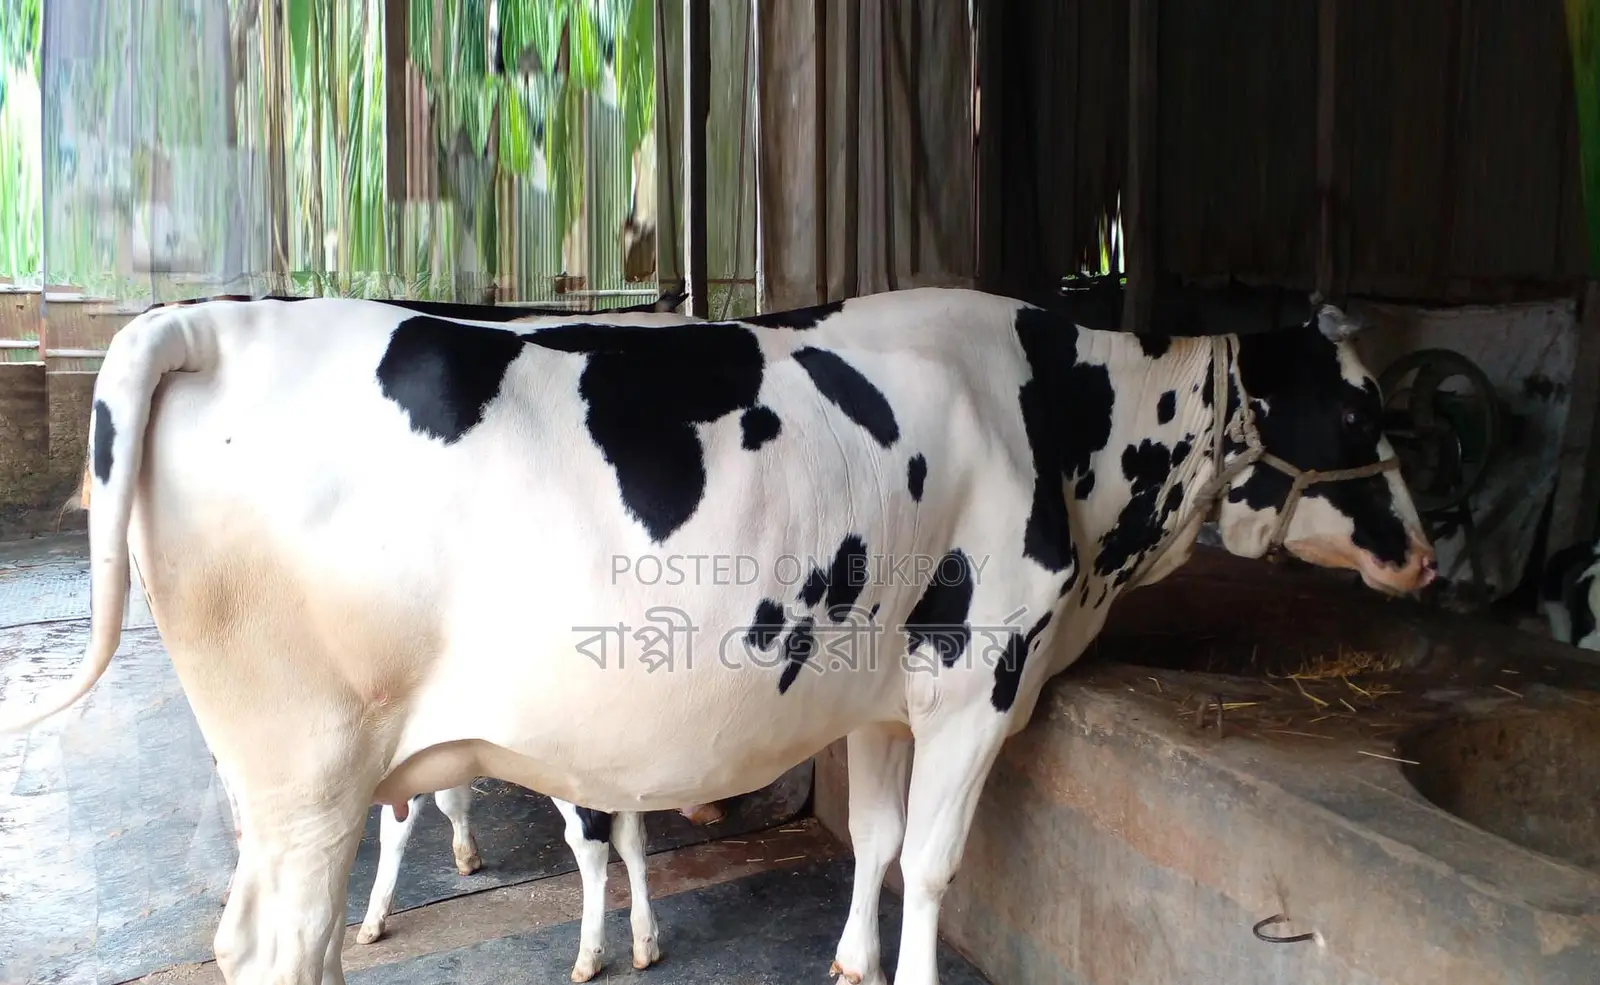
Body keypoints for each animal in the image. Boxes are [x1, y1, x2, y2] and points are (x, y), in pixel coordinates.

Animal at [0, 286, 1434, 985]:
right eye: (1362, 415)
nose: (1424, 555)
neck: (1053, 409)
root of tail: (214, 316)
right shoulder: (979, 672)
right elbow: (936, 864)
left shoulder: (877, 689)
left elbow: (876, 841)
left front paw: (849, 963)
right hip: (309, 770)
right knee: (276, 949)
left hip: (285, 780)